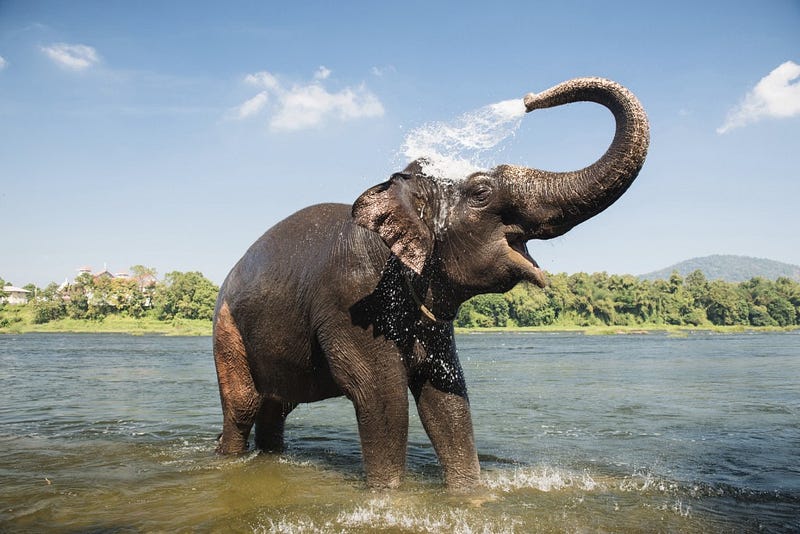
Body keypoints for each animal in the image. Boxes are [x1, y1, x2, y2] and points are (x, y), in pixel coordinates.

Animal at [213, 77, 649, 489]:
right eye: (481, 192)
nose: (528, 99)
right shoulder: (352, 300)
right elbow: (381, 396)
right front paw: (389, 496)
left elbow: (446, 396)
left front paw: (470, 494)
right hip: (226, 329)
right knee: (243, 407)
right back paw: (228, 458)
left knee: (276, 407)